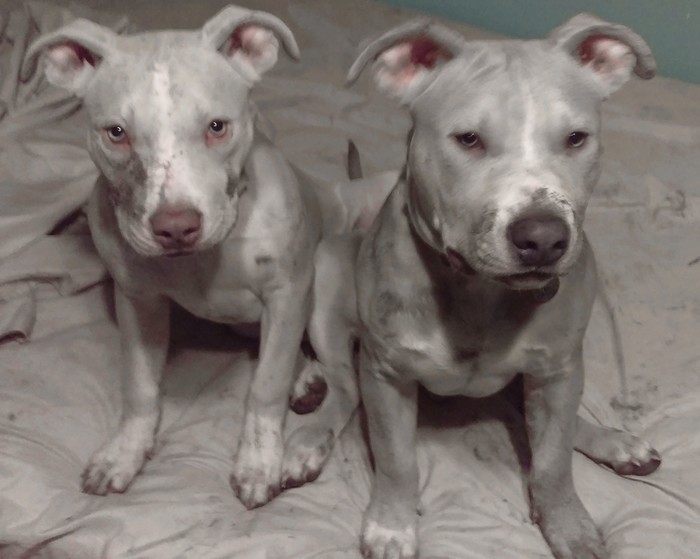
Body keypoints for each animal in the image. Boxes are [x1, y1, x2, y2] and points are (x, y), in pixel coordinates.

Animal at [24, 4, 360, 510]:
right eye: (117, 133)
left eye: (217, 127)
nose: (176, 227)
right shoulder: (136, 299)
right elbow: (140, 386)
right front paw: (125, 452)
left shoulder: (287, 293)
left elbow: (266, 385)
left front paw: (258, 462)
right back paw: (305, 377)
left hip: (321, 294)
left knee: (342, 381)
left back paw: (305, 442)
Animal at [331, 13, 662, 559]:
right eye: (468, 139)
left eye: (576, 138)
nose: (544, 239)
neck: (479, 293)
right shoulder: (385, 374)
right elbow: (397, 460)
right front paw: (392, 524)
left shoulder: (557, 371)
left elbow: (552, 464)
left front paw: (567, 524)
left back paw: (613, 442)